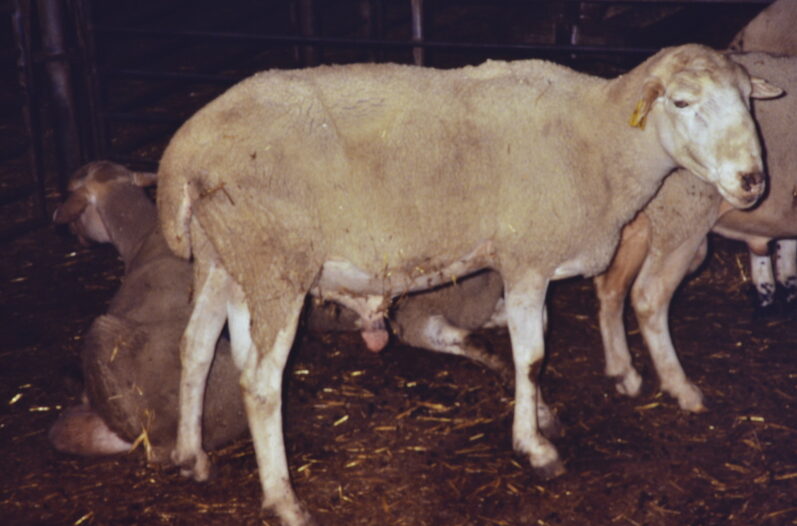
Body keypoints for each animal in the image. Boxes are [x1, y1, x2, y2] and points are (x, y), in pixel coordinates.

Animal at [595, 51, 797, 412]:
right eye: (681, 102)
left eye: (748, 97)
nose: (753, 179)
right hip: (683, 217)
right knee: (649, 296)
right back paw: (681, 388)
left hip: (640, 222)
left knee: (611, 286)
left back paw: (623, 373)